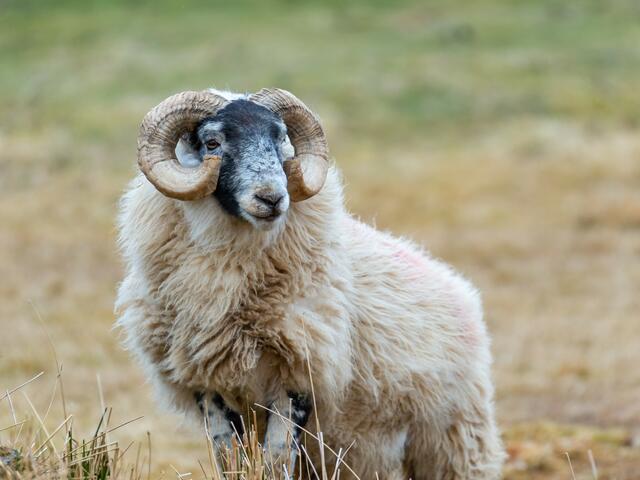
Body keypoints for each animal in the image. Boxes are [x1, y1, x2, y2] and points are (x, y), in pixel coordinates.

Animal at [115, 88, 504, 478]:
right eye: (212, 142)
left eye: (280, 138)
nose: (272, 198)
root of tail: (459, 286)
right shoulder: (205, 383)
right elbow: (230, 458)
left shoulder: (300, 374)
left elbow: (276, 458)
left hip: (452, 440)